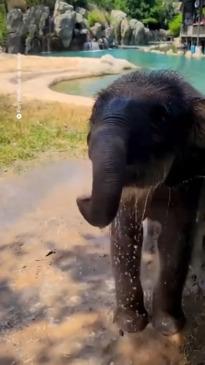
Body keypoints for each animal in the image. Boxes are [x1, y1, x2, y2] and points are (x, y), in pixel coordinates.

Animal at [77, 70, 205, 336]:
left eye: (161, 118)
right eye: (94, 109)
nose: (81, 199)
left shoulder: (188, 179)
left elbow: (176, 236)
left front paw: (168, 328)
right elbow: (124, 234)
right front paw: (131, 326)